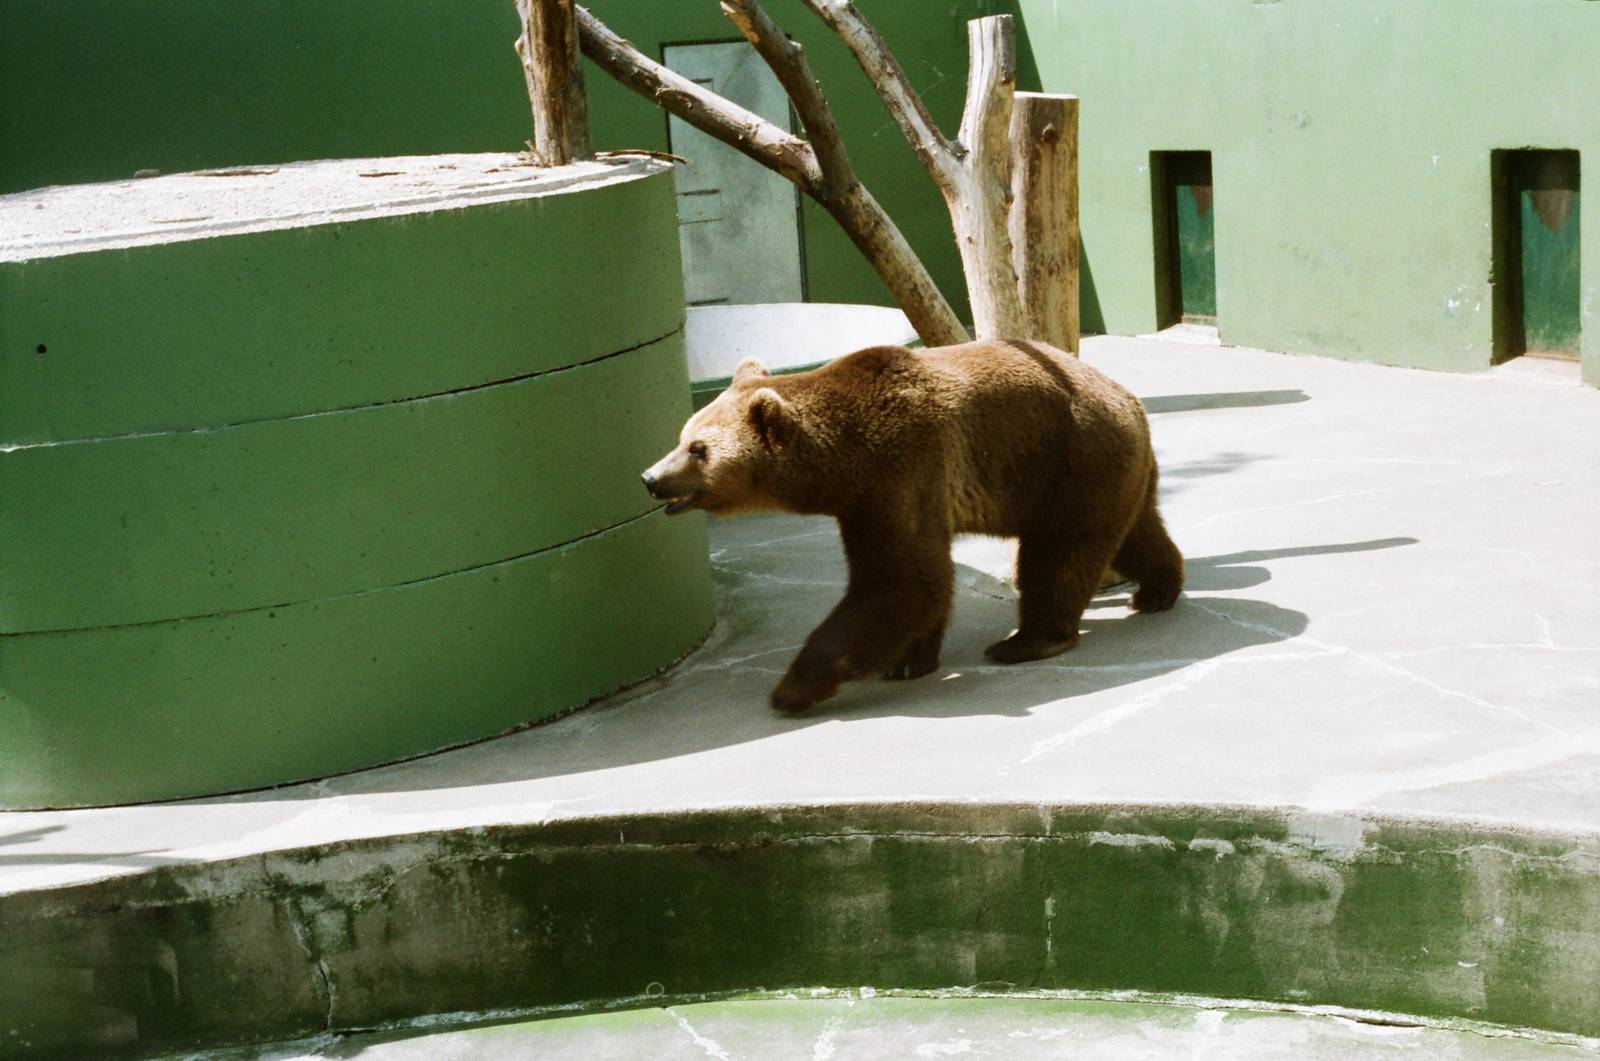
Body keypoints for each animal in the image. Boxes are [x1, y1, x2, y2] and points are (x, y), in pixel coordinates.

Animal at [641, 338, 1184, 716]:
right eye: (683, 435)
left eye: (699, 449)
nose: (651, 478)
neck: (840, 458)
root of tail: (1129, 398)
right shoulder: (868, 498)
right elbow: (921, 579)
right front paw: (908, 660)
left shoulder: (900, 469)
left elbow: (901, 581)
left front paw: (794, 687)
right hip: (1106, 469)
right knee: (1133, 532)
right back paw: (1157, 589)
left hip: (1071, 458)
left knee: (1059, 552)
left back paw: (1026, 640)